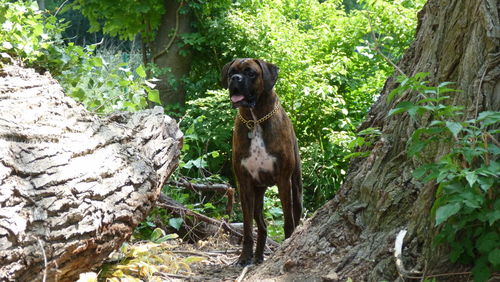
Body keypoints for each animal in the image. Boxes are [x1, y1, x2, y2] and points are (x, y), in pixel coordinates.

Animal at [222, 58, 300, 266]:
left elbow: (288, 220)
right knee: (262, 225)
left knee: (295, 215)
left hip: (296, 187)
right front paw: (244, 257)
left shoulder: (283, 180)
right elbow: (248, 227)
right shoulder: (245, 184)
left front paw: (286, 245)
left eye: (251, 73)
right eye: (231, 72)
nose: (235, 78)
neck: (255, 120)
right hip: (257, 193)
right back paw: (257, 256)